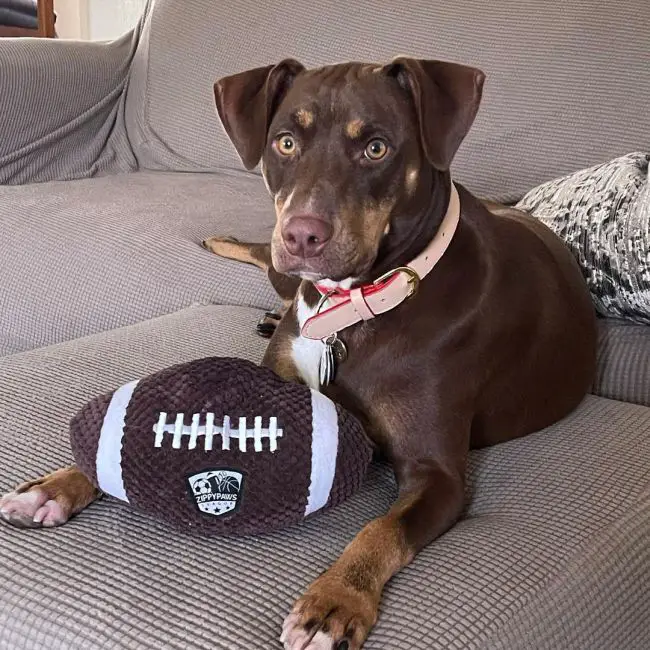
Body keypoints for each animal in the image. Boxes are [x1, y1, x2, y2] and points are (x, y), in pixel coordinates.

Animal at [1, 57, 596, 648]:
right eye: (285, 143)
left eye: (376, 148)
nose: (302, 235)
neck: (350, 307)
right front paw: (57, 485)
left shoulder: (440, 475)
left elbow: (382, 529)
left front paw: (335, 601)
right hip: (279, 272)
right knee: (261, 258)